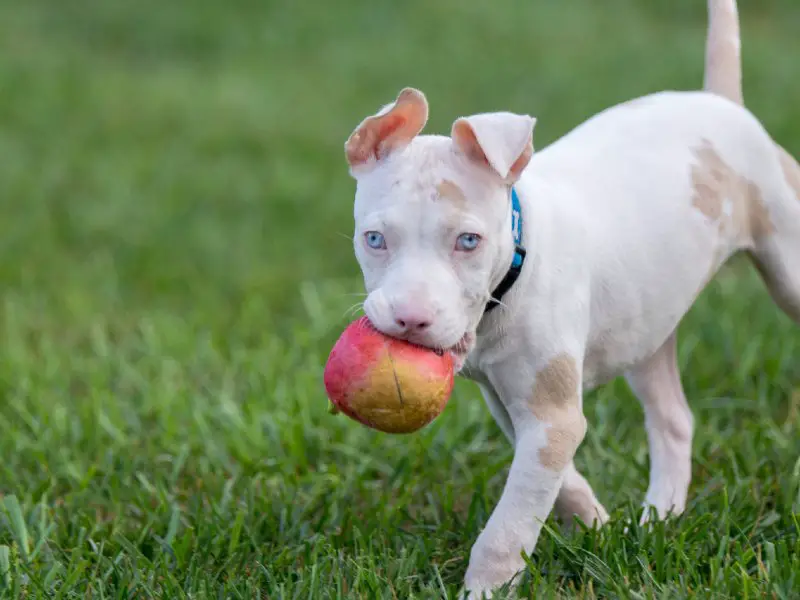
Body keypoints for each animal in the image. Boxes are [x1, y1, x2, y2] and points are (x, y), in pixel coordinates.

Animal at [340, 2, 796, 596]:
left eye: (468, 241)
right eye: (374, 239)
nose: (409, 320)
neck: (512, 271)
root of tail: (720, 102)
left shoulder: (548, 417)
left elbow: (507, 527)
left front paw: (483, 589)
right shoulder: (515, 406)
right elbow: (552, 483)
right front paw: (599, 528)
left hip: (786, 257)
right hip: (647, 322)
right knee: (673, 419)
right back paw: (657, 520)